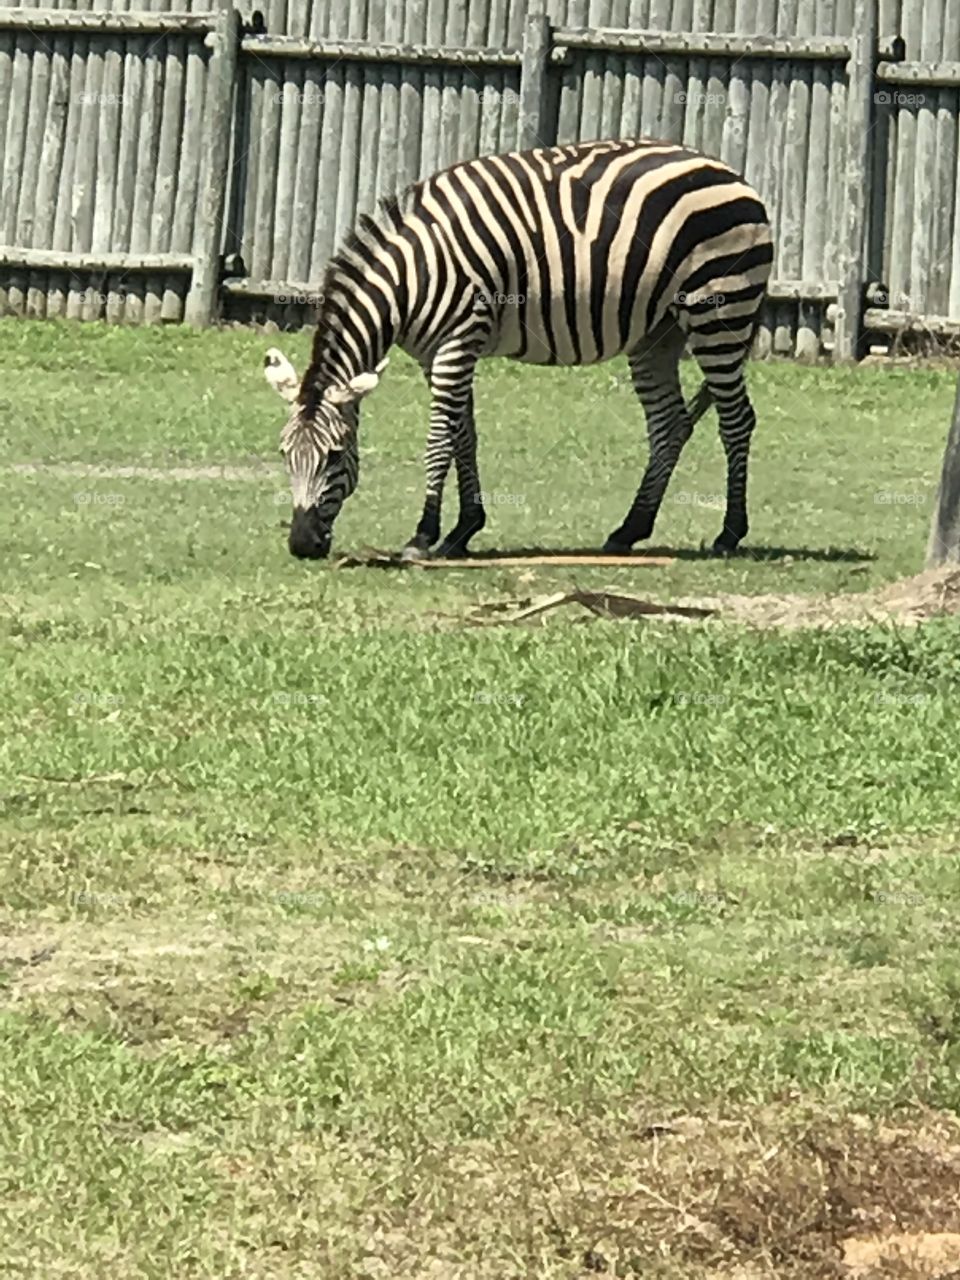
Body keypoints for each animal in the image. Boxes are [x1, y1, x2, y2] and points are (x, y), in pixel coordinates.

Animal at [263, 138, 773, 561]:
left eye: (335, 455)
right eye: (284, 453)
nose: (302, 544)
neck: (412, 277)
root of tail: (731, 173)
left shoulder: (459, 339)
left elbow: (439, 438)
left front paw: (423, 536)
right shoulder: (437, 353)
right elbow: (463, 435)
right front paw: (463, 530)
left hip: (719, 312)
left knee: (737, 420)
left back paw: (729, 533)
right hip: (658, 333)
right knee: (668, 424)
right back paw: (630, 529)